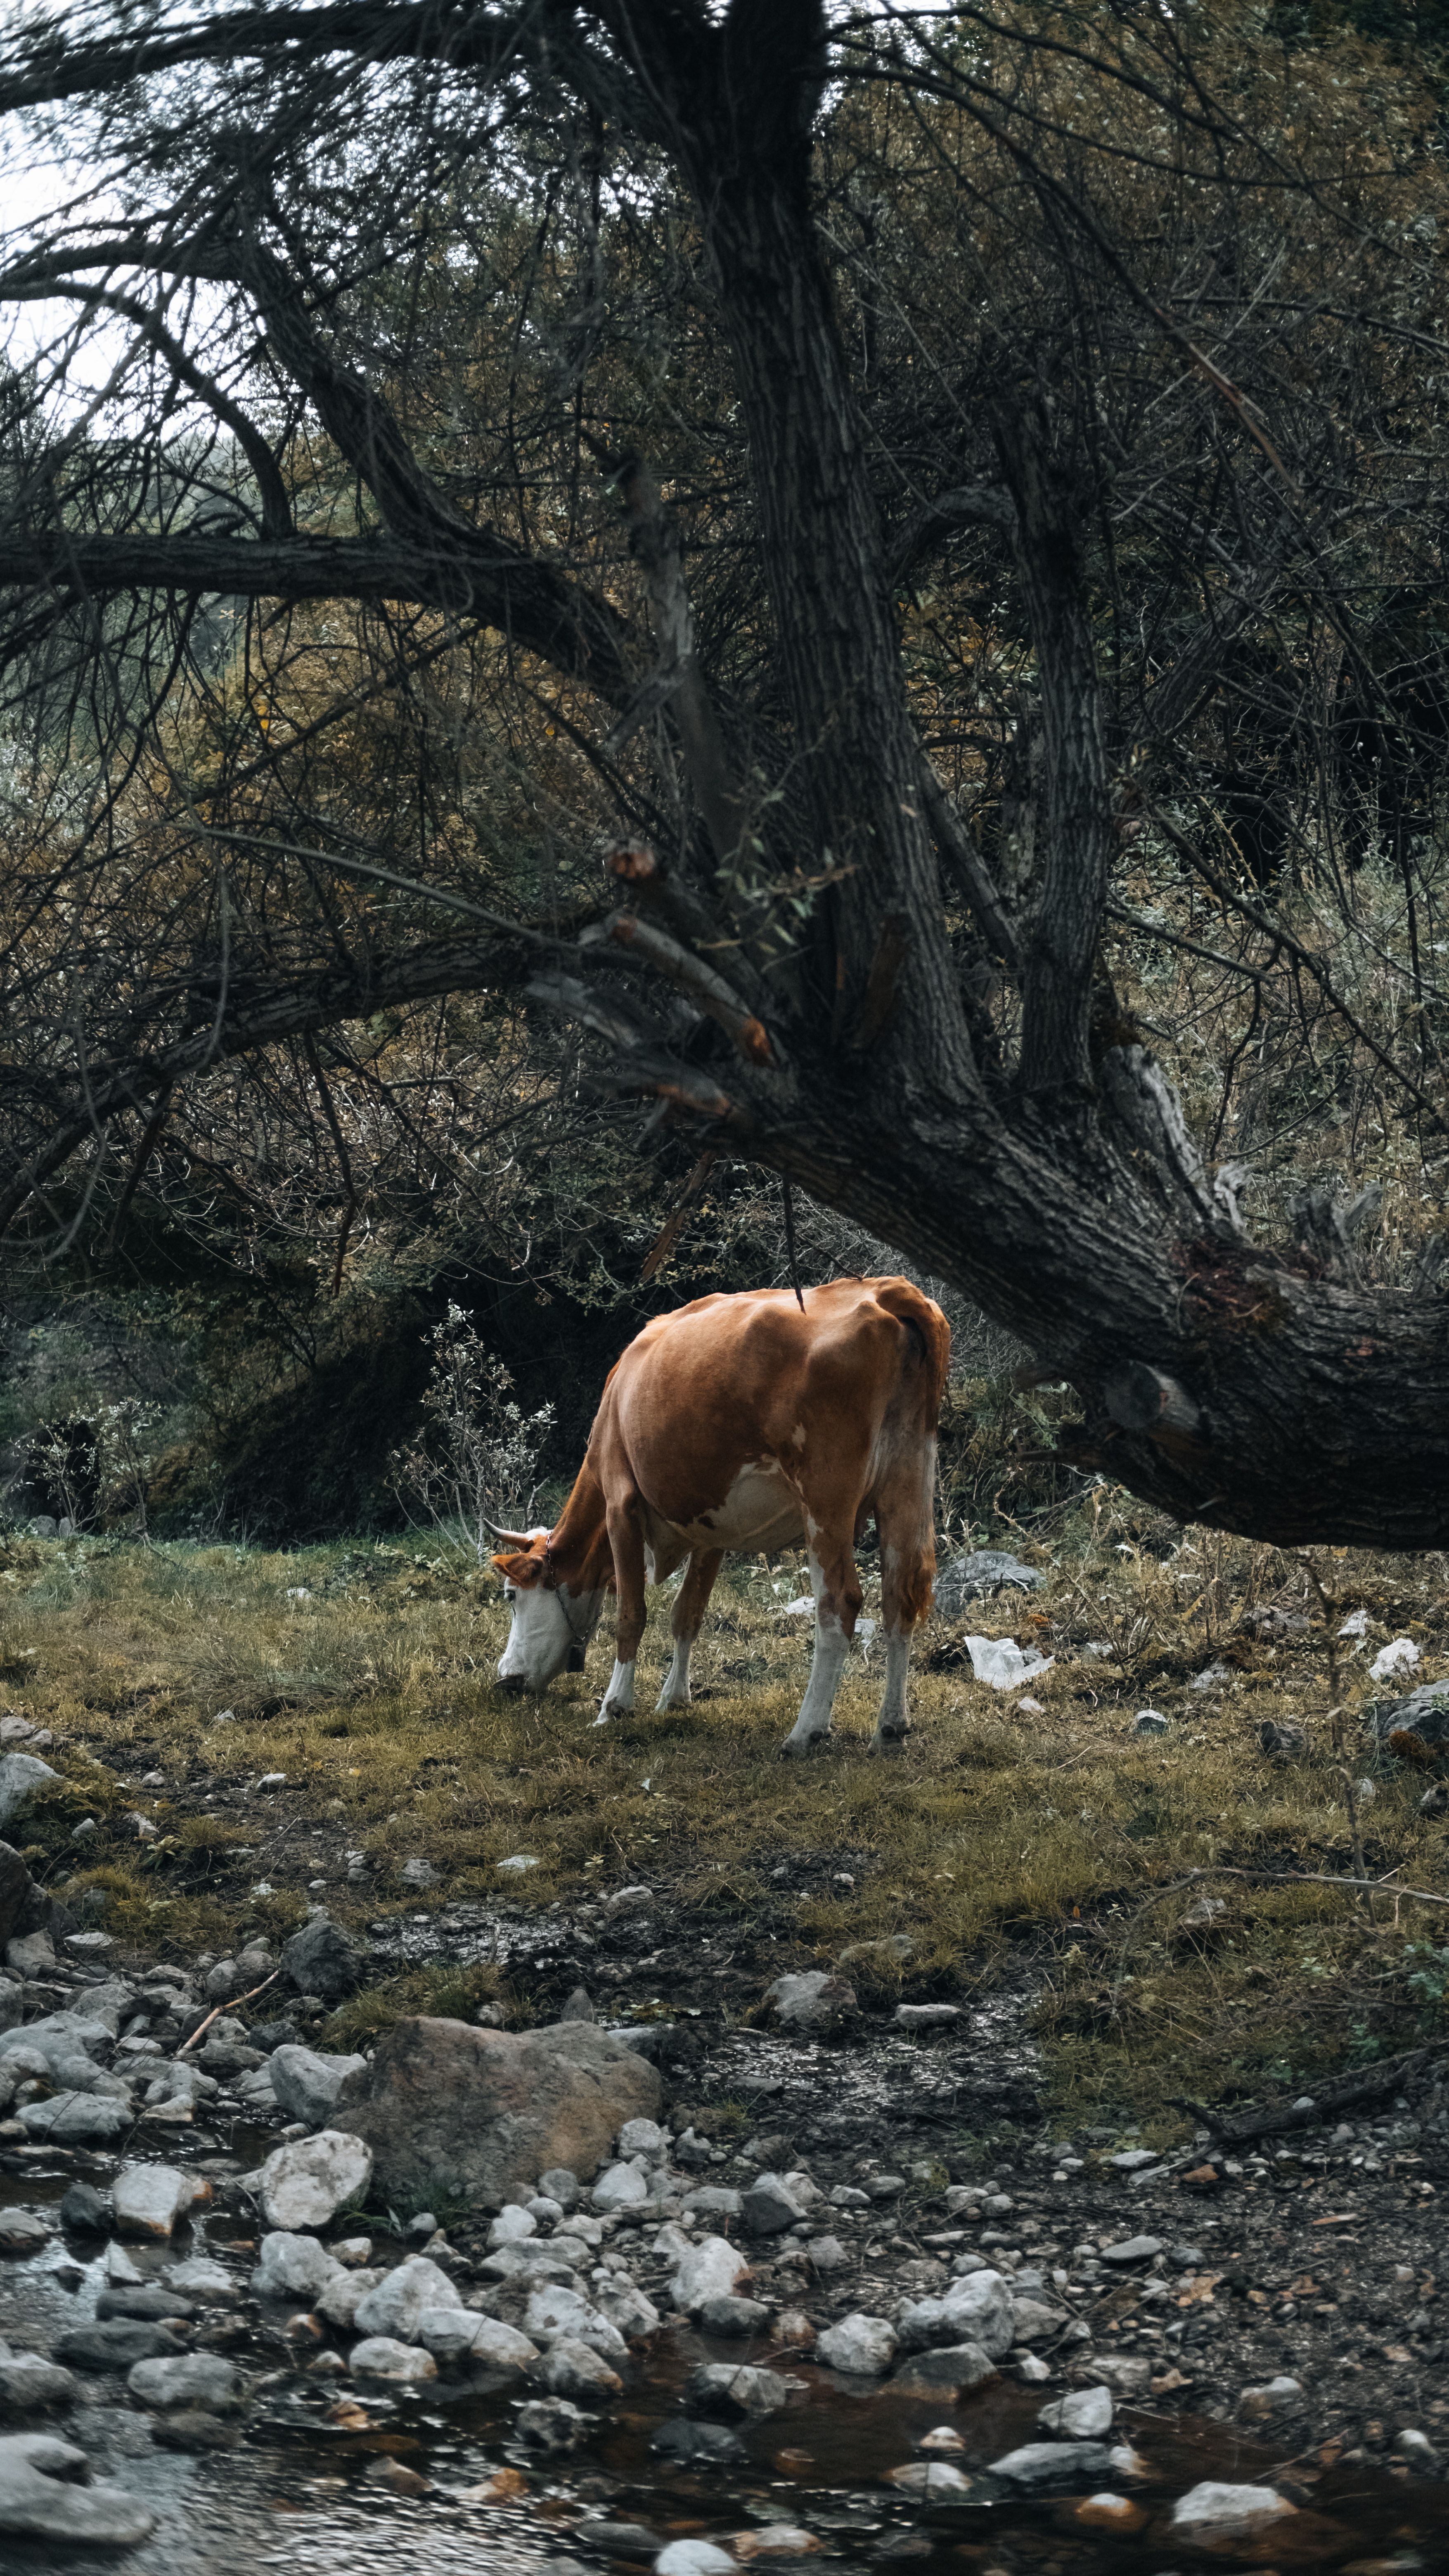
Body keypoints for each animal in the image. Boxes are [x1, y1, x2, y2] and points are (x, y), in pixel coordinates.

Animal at [489, 1276, 950, 1755]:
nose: (504, 1681)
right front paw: (673, 1699)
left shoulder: (620, 1501)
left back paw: (805, 1732)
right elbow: (687, 1613)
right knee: (900, 1598)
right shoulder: (713, 1527)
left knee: (839, 1604)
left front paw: (614, 1706)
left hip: (826, 1498)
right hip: (907, 1484)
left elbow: (631, 1614)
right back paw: (890, 1729)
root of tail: (885, 1290)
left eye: (511, 1595)